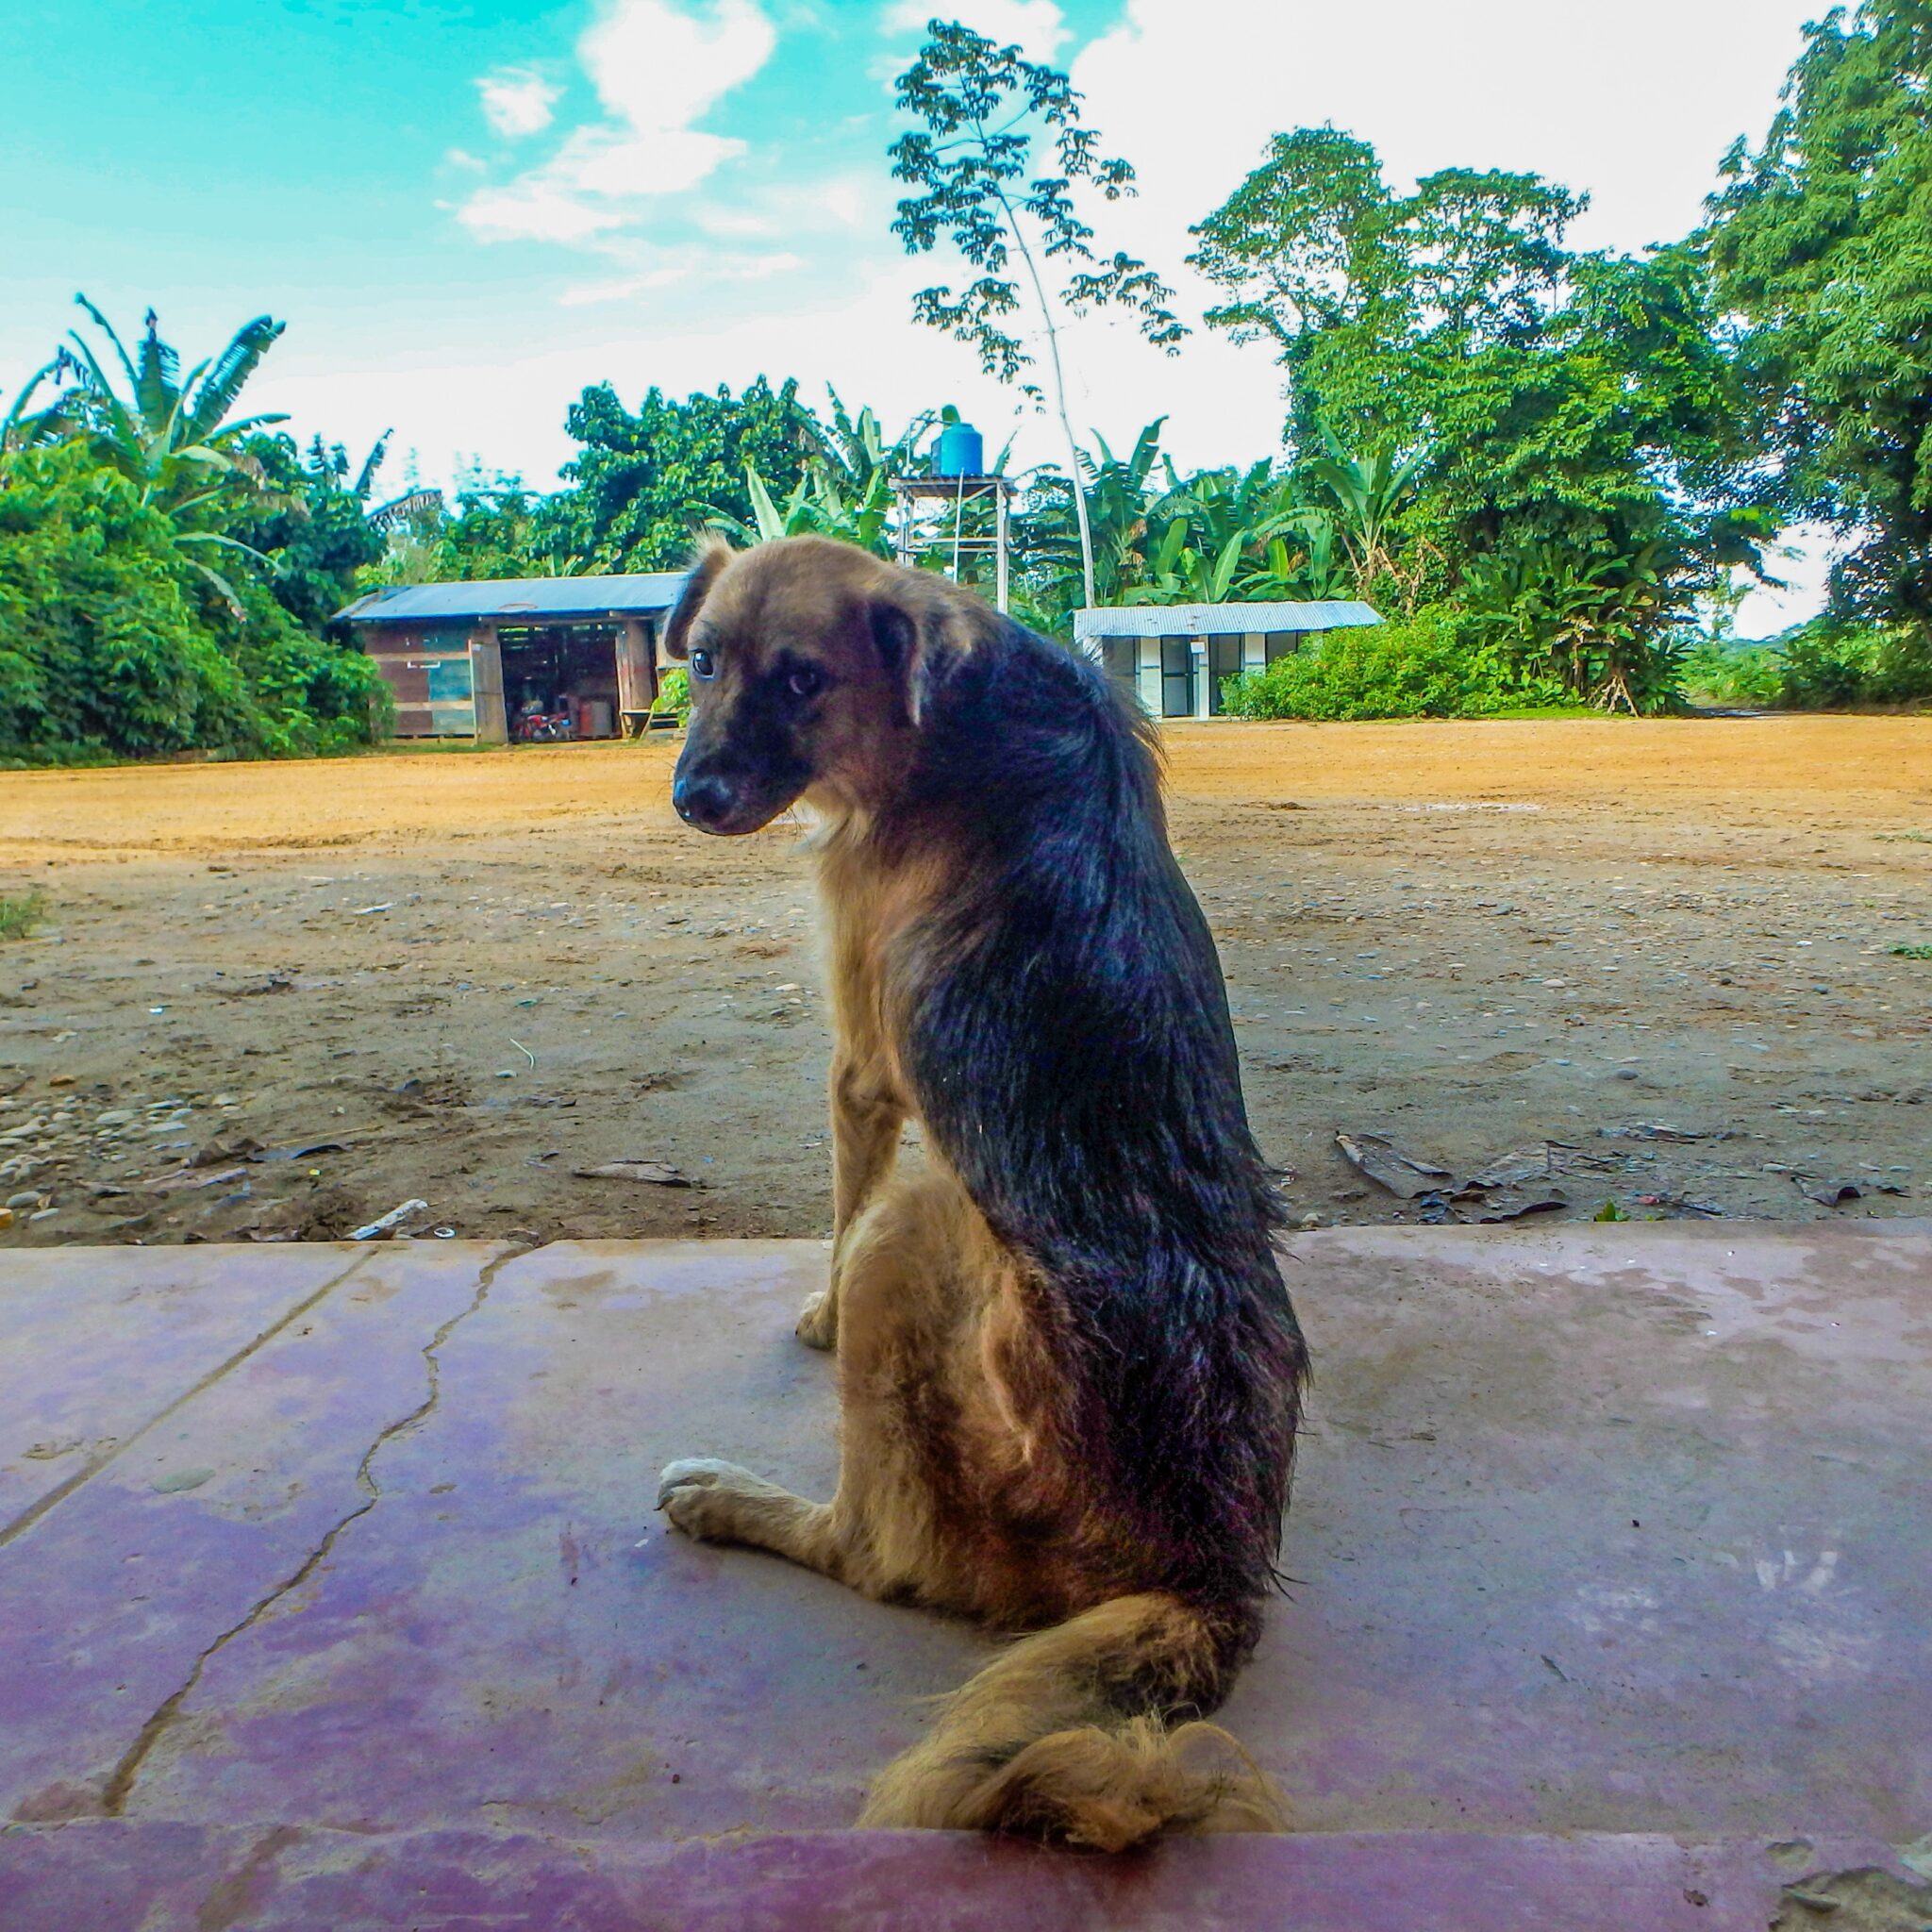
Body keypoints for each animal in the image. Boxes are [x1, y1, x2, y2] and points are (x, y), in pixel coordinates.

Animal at [657, 537, 1306, 1846]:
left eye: (801, 679)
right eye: (701, 661)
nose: (690, 794)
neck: (952, 711)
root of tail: (1209, 1569)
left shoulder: (859, 1063)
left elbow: (836, 1207)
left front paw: (816, 1314)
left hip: (915, 1235)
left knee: (872, 1549)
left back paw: (730, 1498)